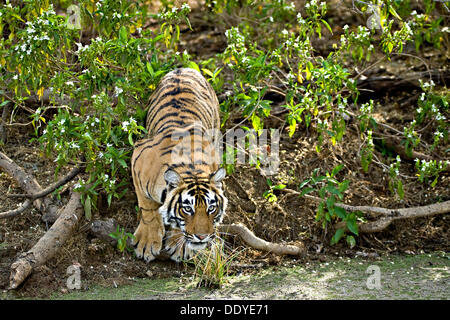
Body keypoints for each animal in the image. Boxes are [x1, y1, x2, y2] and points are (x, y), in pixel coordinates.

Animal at [132, 67, 227, 262]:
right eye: (187, 209)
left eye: (211, 208)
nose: (202, 236)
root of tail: (183, 68)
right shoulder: (137, 158)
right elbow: (147, 207)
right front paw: (147, 242)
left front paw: (180, 246)